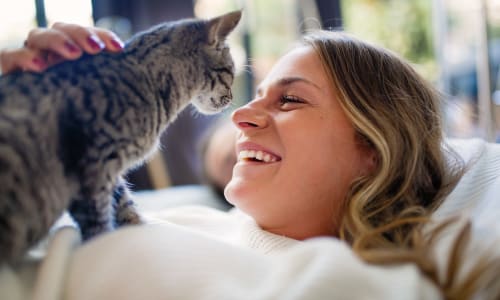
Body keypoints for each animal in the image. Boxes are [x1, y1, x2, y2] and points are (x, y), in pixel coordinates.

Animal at [0, 9, 241, 264]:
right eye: (231, 73)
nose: (231, 99)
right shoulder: (93, 168)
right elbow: (99, 221)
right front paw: (103, 244)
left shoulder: (109, 172)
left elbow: (124, 204)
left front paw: (138, 228)